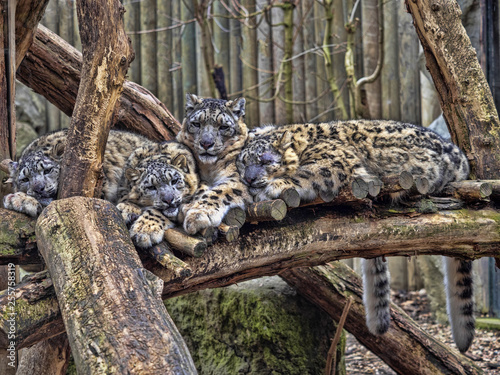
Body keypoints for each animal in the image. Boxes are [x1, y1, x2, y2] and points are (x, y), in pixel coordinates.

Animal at [177, 94, 254, 235]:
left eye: (223, 126)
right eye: (196, 124)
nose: (206, 143)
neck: (209, 168)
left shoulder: (238, 178)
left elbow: (218, 191)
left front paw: (197, 215)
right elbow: (200, 188)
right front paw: (189, 205)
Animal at [236, 121, 474, 356]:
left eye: (265, 160)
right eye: (242, 162)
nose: (249, 178)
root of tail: (462, 161)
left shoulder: (333, 163)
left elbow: (304, 174)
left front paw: (270, 188)